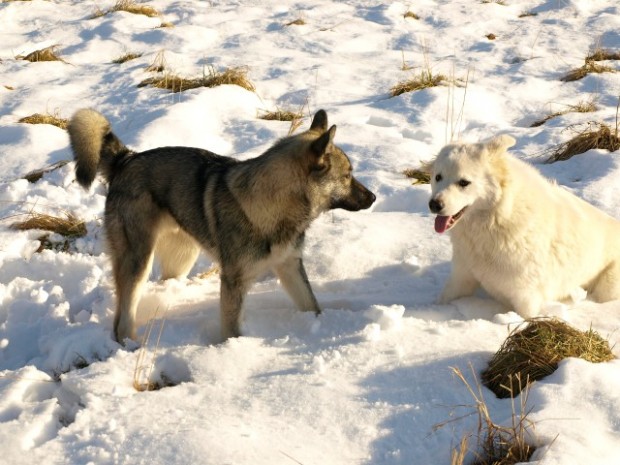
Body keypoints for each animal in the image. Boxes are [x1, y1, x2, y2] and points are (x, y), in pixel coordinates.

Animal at [428, 134, 620, 316]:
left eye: (463, 182)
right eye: (438, 177)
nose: (434, 205)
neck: (497, 217)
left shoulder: (526, 297)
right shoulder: (462, 277)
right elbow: (444, 297)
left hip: (608, 287)